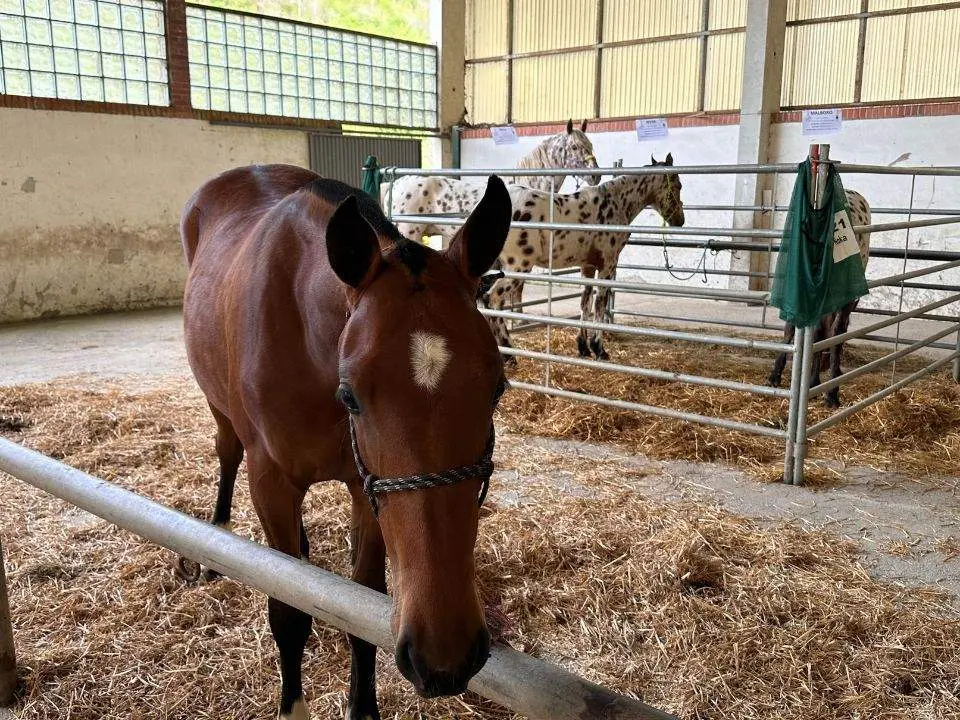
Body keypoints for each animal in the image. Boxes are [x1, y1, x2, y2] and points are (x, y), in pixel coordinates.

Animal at [179, 164, 512, 720]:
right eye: (351, 395)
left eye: (498, 388)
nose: (446, 659)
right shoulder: (270, 484)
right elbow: (288, 613)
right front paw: (292, 705)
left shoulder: (367, 489)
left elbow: (362, 605)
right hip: (218, 408)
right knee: (226, 454)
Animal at [485, 155, 685, 363]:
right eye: (678, 185)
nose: (680, 221)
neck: (615, 202)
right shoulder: (607, 266)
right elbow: (599, 304)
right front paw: (599, 350)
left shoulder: (587, 266)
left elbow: (585, 303)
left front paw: (583, 348)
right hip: (517, 268)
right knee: (491, 299)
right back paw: (509, 355)